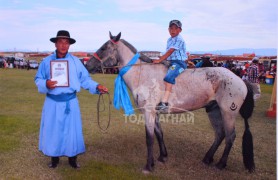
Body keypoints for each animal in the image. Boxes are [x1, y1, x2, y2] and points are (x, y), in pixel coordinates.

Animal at [86, 32, 255, 173]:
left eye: (103, 48)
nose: (87, 65)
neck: (142, 74)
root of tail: (240, 80)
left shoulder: (148, 112)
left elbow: (149, 138)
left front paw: (148, 166)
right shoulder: (154, 113)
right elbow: (159, 133)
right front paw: (162, 157)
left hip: (228, 113)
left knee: (230, 136)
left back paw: (221, 164)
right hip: (214, 110)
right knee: (220, 134)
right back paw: (207, 158)